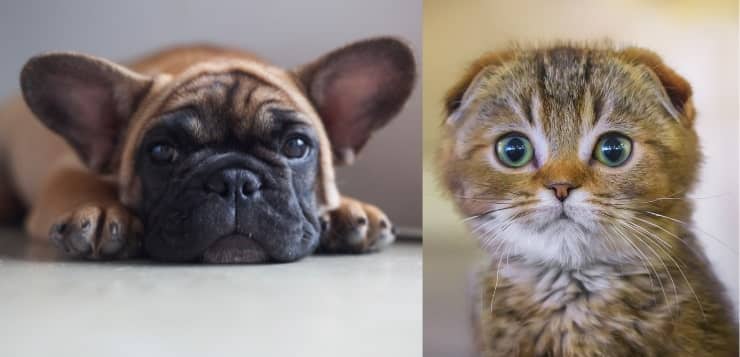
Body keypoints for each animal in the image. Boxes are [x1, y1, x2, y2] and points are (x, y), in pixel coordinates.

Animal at [0, 38, 416, 262]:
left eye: (296, 146)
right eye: (161, 152)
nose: (234, 180)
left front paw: (348, 209)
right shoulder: (67, 170)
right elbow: (84, 184)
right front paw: (102, 212)